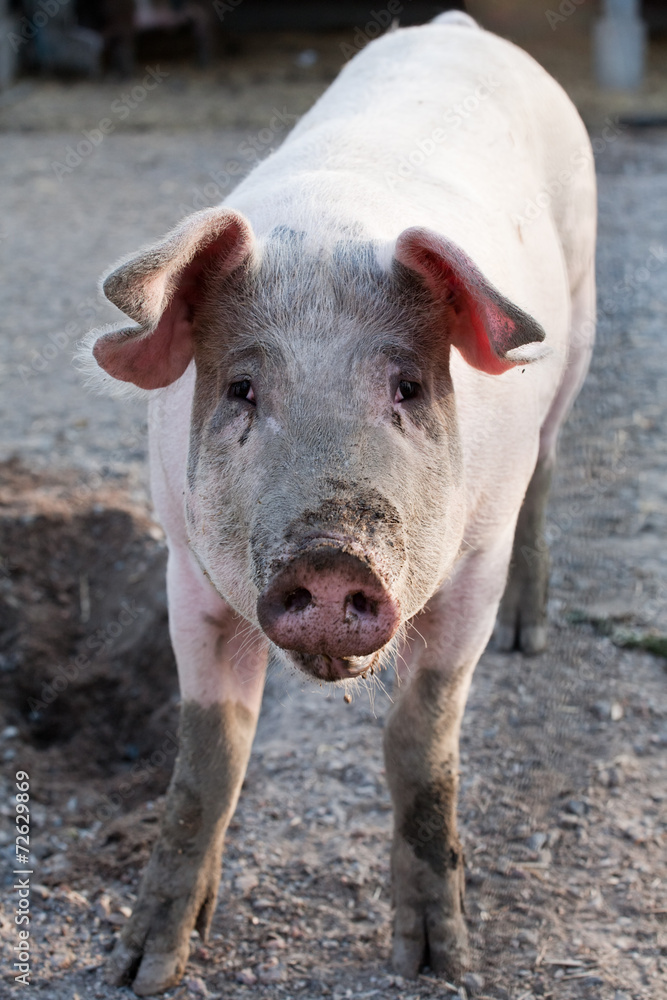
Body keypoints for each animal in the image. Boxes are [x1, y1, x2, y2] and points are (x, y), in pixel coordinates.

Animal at [86, 11, 596, 996]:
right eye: (241, 388)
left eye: (406, 386)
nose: (330, 557)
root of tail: (459, 24)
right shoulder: (185, 568)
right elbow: (208, 761)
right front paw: (141, 967)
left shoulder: (469, 569)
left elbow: (421, 748)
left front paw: (437, 962)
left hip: (578, 328)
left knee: (547, 473)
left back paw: (531, 637)